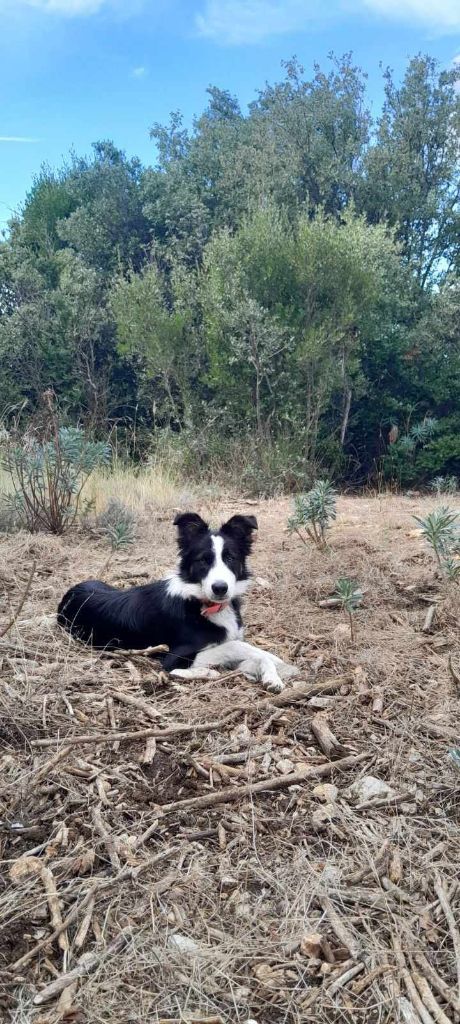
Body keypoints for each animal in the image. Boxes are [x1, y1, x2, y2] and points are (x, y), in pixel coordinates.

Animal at [58, 516, 295, 692]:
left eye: (230, 558)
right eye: (203, 560)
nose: (220, 588)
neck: (202, 603)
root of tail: (69, 593)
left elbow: (256, 653)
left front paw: (273, 674)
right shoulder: (175, 657)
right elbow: (238, 646)